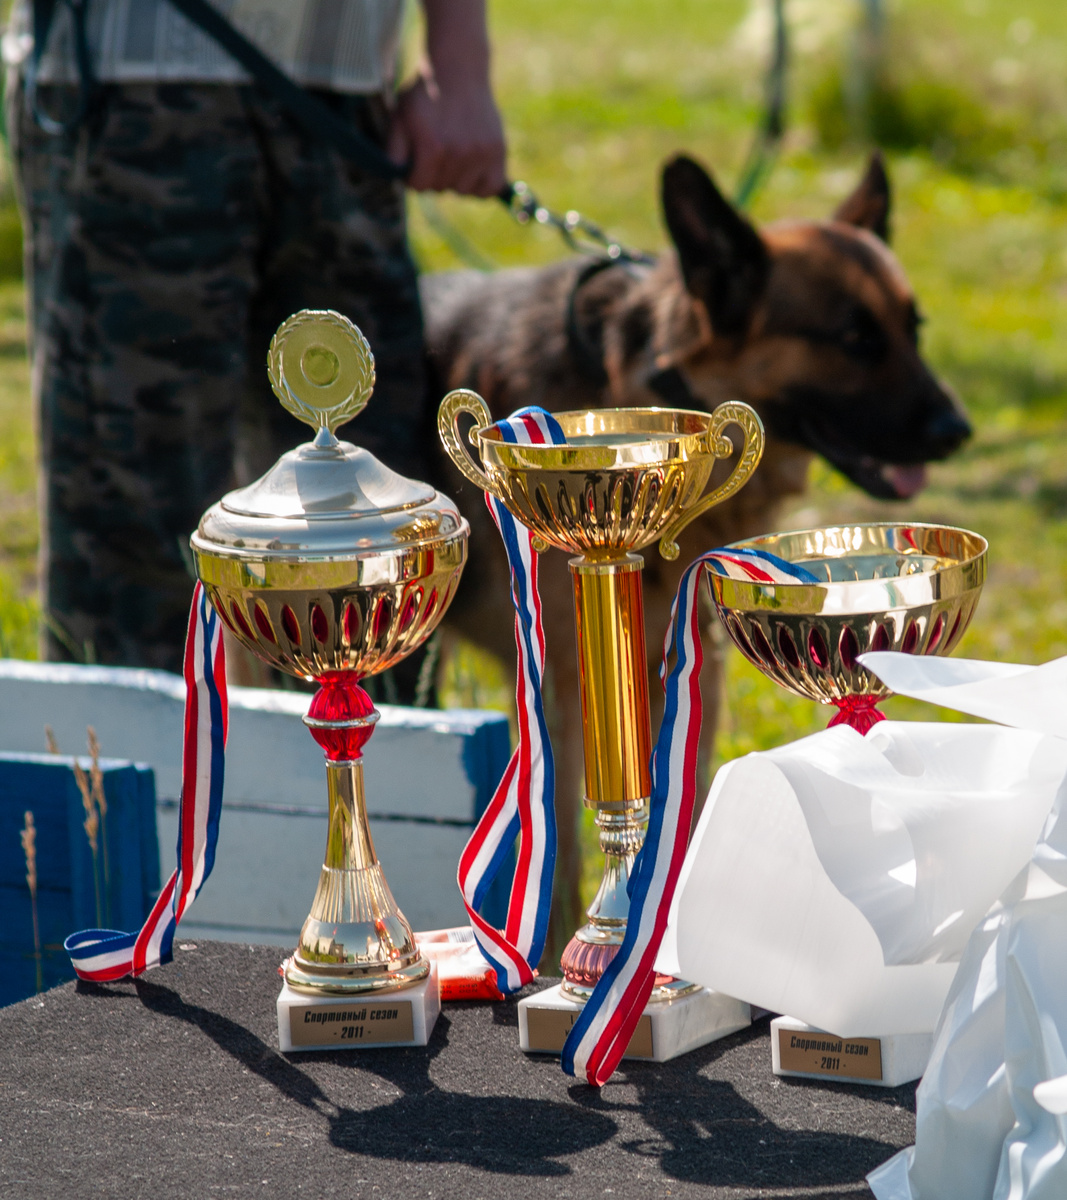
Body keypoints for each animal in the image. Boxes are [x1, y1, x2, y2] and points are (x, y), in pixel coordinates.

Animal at [420, 153, 971, 955]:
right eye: (853, 338)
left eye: (912, 329)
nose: (957, 430)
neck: (636, 375)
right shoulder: (563, 688)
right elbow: (564, 850)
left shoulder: (689, 666)